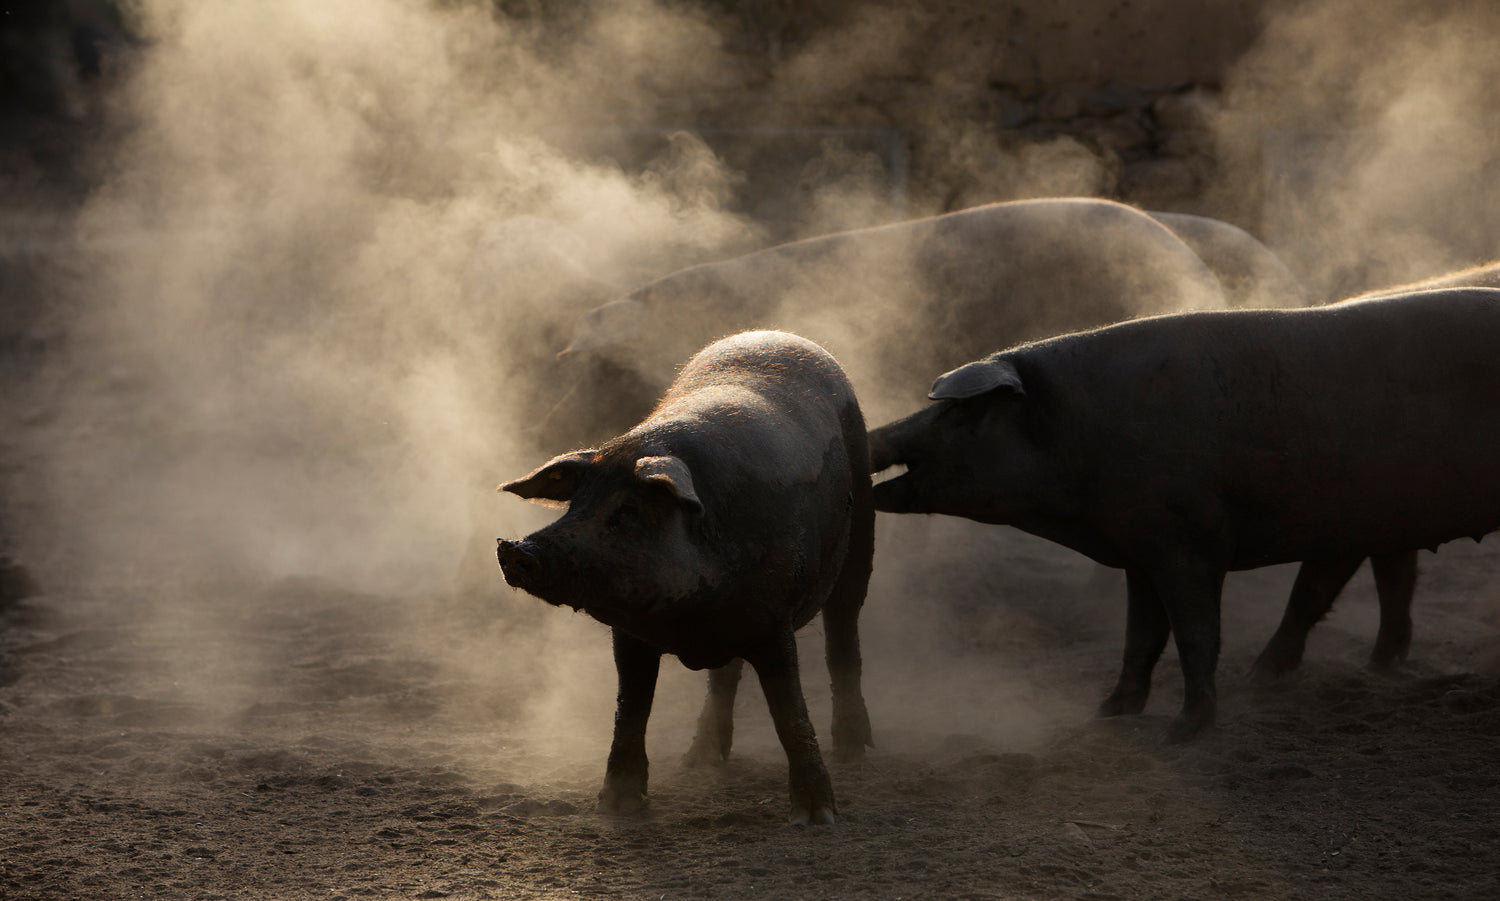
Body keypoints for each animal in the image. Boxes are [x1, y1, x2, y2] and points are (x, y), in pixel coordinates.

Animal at [498, 328, 876, 821]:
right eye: (575, 503)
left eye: (628, 510)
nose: (513, 548)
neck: (690, 618)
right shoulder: (630, 634)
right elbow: (631, 707)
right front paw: (616, 808)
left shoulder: (772, 620)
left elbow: (788, 709)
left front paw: (816, 818)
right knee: (725, 677)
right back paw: (699, 761)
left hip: (862, 524)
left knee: (844, 636)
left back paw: (854, 752)